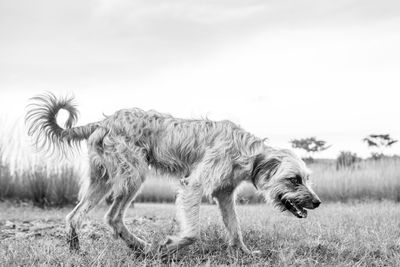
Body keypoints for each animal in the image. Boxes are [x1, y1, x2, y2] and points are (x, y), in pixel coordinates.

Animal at [25, 93, 320, 256]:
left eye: (307, 178)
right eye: (294, 179)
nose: (317, 202)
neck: (248, 151)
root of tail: (103, 121)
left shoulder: (225, 196)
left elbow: (235, 229)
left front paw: (245, 253)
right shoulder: (193, 186)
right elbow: (192, 233)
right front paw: (169, 247)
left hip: (102, 180)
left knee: (75, 216)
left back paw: (86, 251)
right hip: (133, 177)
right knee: (112, 217)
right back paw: (143, 248)